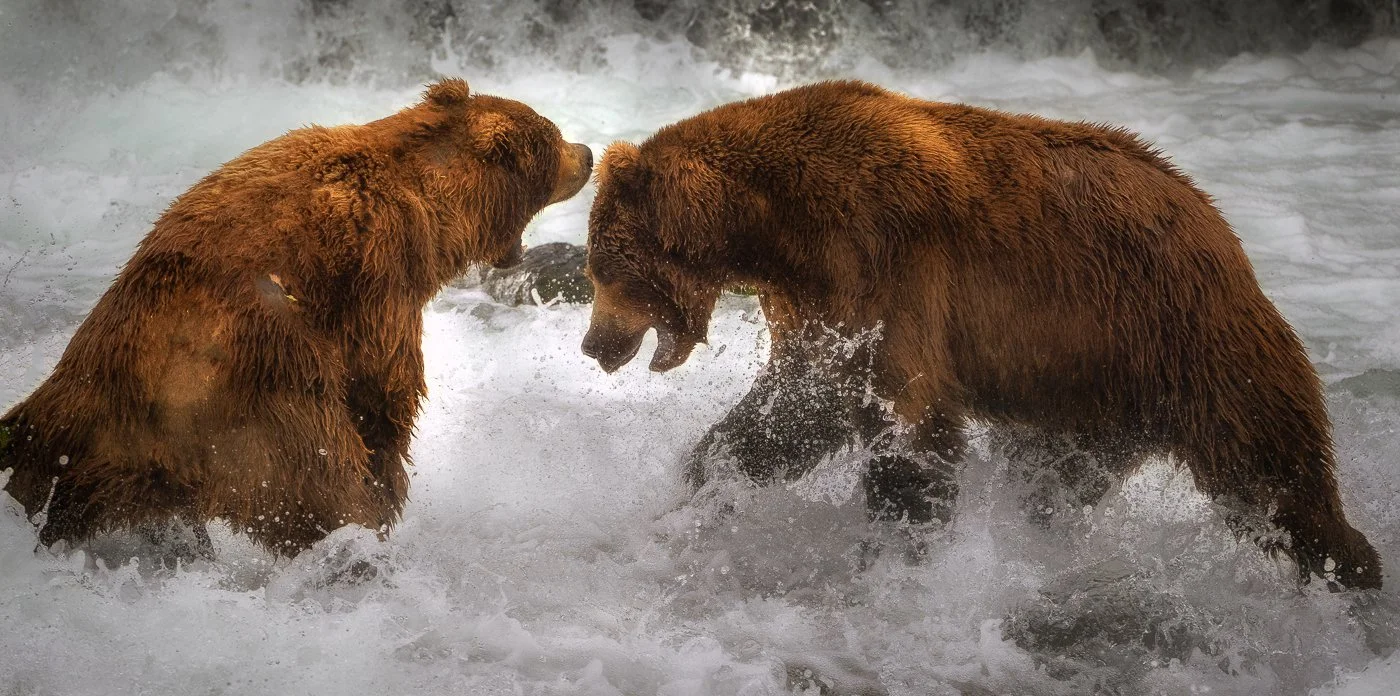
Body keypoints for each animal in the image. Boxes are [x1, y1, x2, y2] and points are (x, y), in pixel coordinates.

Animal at [0, 78, 592, 555]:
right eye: (553, 137)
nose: (587, 152)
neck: (431, 208)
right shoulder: (377, 273)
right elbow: (382, 380)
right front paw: (388, 478)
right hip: (253, 391)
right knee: (316, 478)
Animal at [579, 80, 1382, 590]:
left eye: (603, 265)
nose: (593, 345)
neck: (775, 230)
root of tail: (1220, 226)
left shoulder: (884, 264)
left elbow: (909, 423)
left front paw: (898, 548)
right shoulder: (819, 306)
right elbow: (797, 410)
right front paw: (700, 480)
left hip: (1185, 338)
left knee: (1270, 471)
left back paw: (1349, 569)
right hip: (1087, 389)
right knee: (1058, 476)